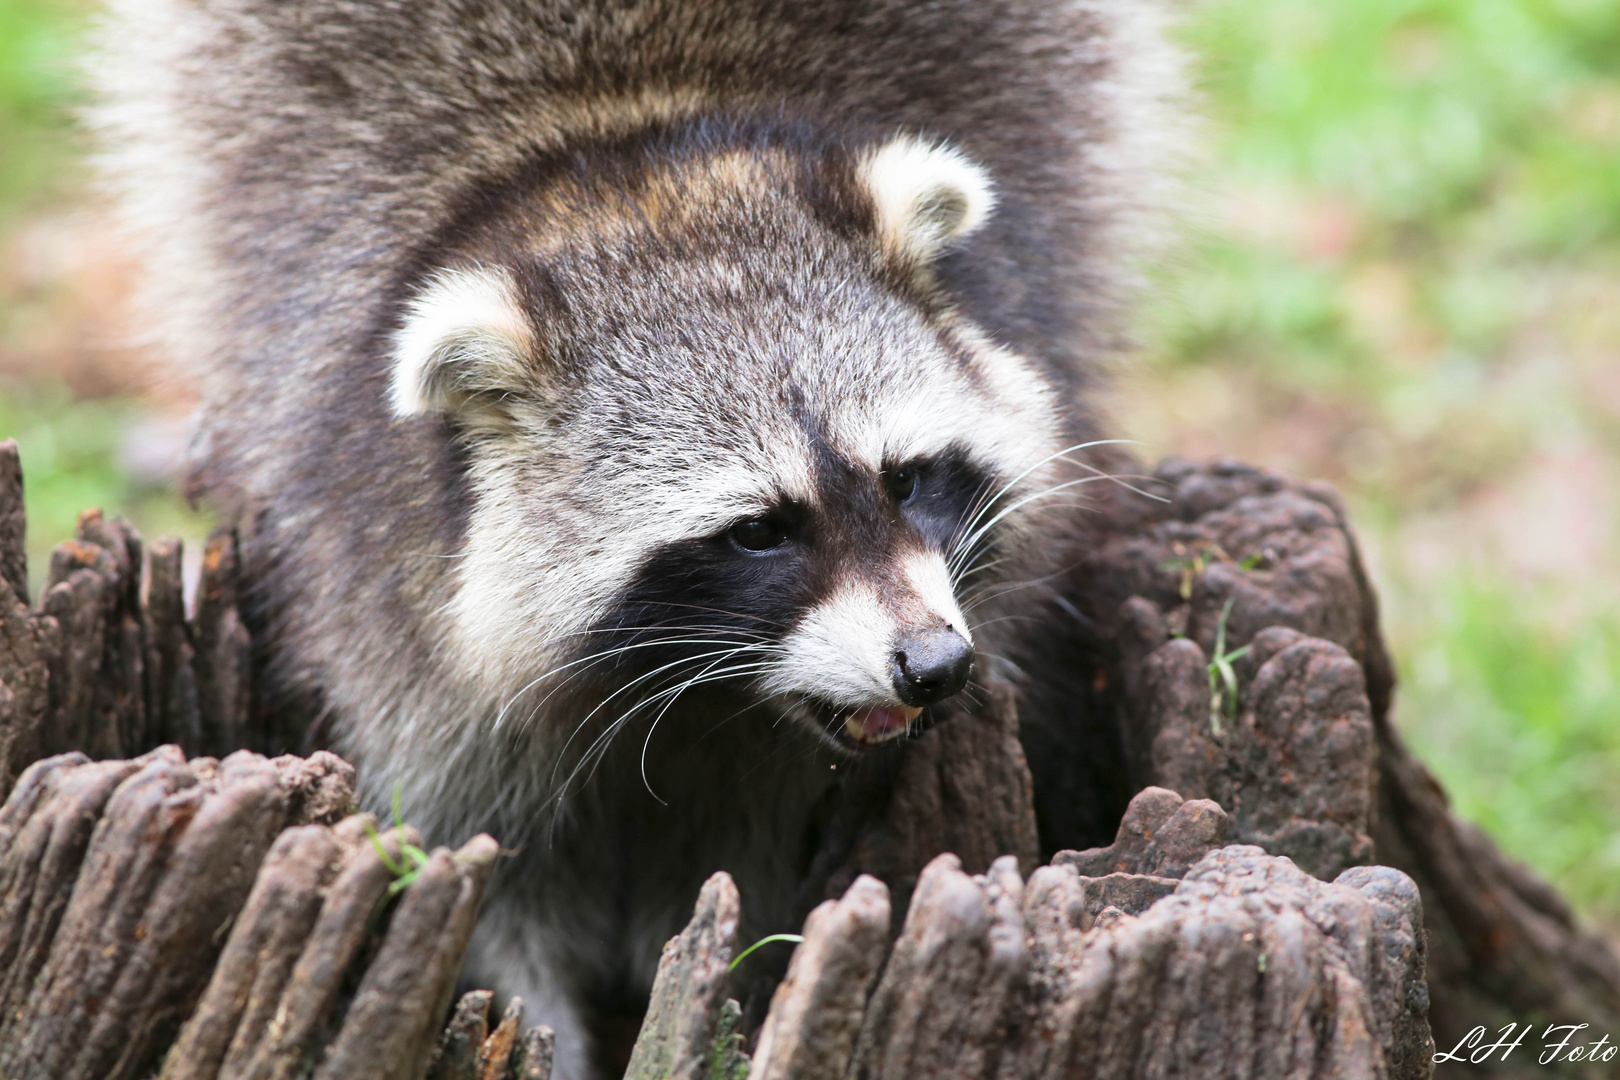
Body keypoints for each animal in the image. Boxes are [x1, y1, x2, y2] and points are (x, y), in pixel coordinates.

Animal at [98, 4, 1179, 1075]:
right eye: (758, 532)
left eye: (905, 478)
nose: (934, 664)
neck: (627, 150)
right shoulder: (379, 576)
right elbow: (482, 862)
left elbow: (743, 874)